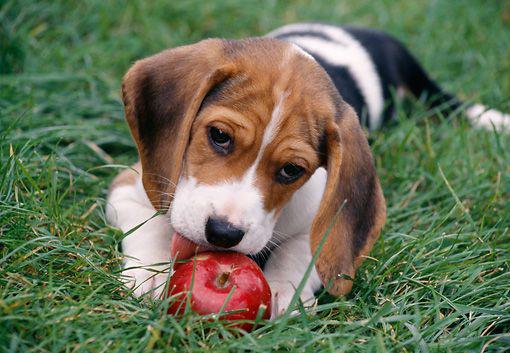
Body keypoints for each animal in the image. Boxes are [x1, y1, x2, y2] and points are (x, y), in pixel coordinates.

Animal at [105, 24, 508, 316]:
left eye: (290, 170)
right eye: (219, 135)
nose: (222, 233)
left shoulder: (320, 224)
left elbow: (300, 253)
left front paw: (284, 291)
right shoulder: (128, 189)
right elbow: (150, 226)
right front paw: (149, 275)